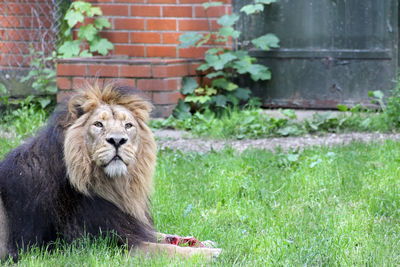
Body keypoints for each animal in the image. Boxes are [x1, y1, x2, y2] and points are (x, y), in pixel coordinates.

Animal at [0, 82, 220, 262]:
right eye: (98, 124)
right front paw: (212, 254)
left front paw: (206, 243)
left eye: (128, 125)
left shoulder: (129, 224)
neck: (114, 186)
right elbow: (163, 249)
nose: (117, 140)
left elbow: (163, 236)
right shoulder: (100, 245)